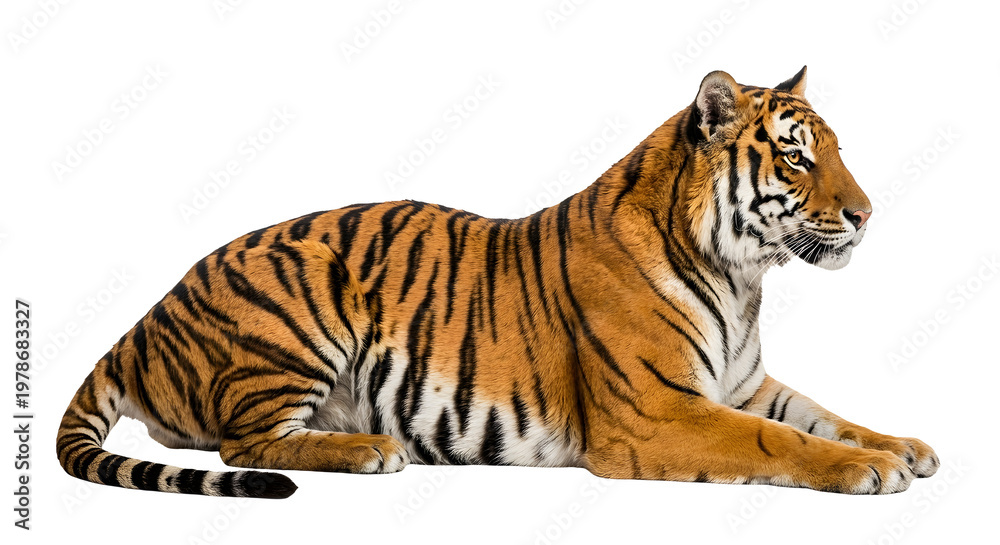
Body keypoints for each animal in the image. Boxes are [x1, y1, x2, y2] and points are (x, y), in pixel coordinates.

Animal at [57, 67, 938, 498]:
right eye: (796, 157)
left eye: (835, 149)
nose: (866, 213)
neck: (739, 277)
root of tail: (142, 321)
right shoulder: (656, 412)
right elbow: (775, 439)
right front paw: (867, 470)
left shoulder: (744, 383)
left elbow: (826, 415)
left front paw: (903, 445)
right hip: (301, 289)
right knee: (247, 440)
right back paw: (372, 447)